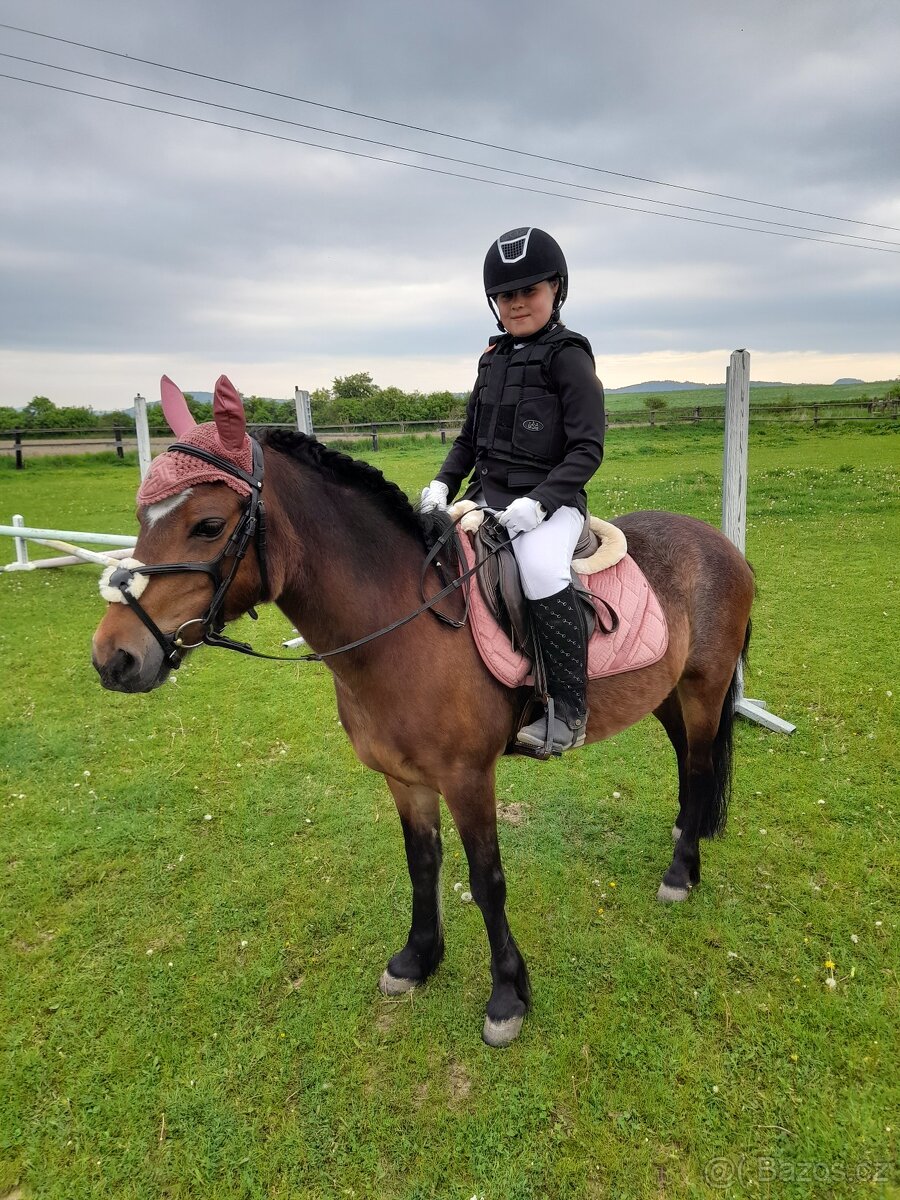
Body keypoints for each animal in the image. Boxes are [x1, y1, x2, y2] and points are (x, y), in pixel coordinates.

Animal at [91, 376, 755, 1047]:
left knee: (701, 764)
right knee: (686, 760)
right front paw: (418, 959)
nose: (113, 658)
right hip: (666, 694)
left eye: (207, 524)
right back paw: (686, 836)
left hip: (703, 689)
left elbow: (487, 881)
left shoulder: (468, 779)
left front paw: (508, 997)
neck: (402, 627)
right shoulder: (404, 779)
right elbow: (422, 864)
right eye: (142, 519)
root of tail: (720, 543)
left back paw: (680, 873)